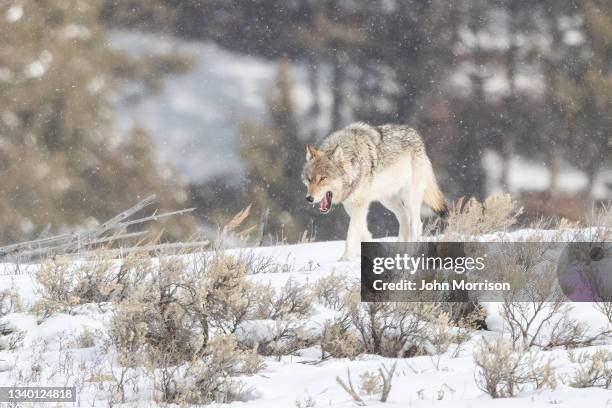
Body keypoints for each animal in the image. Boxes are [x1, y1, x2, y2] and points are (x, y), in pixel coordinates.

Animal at [304, 122, 448, 262]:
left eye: (323, 178)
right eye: (309, 179)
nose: (309, 198)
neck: (354, 162)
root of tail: (417, 137)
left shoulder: (359, 204)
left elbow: (351, 233)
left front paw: (345, 259)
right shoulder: (351, 206)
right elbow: (362, 229)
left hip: (409, 198)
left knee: (416, 224)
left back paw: (411, 255)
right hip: (388, 201)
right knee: (404, 218)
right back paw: (400, 253)